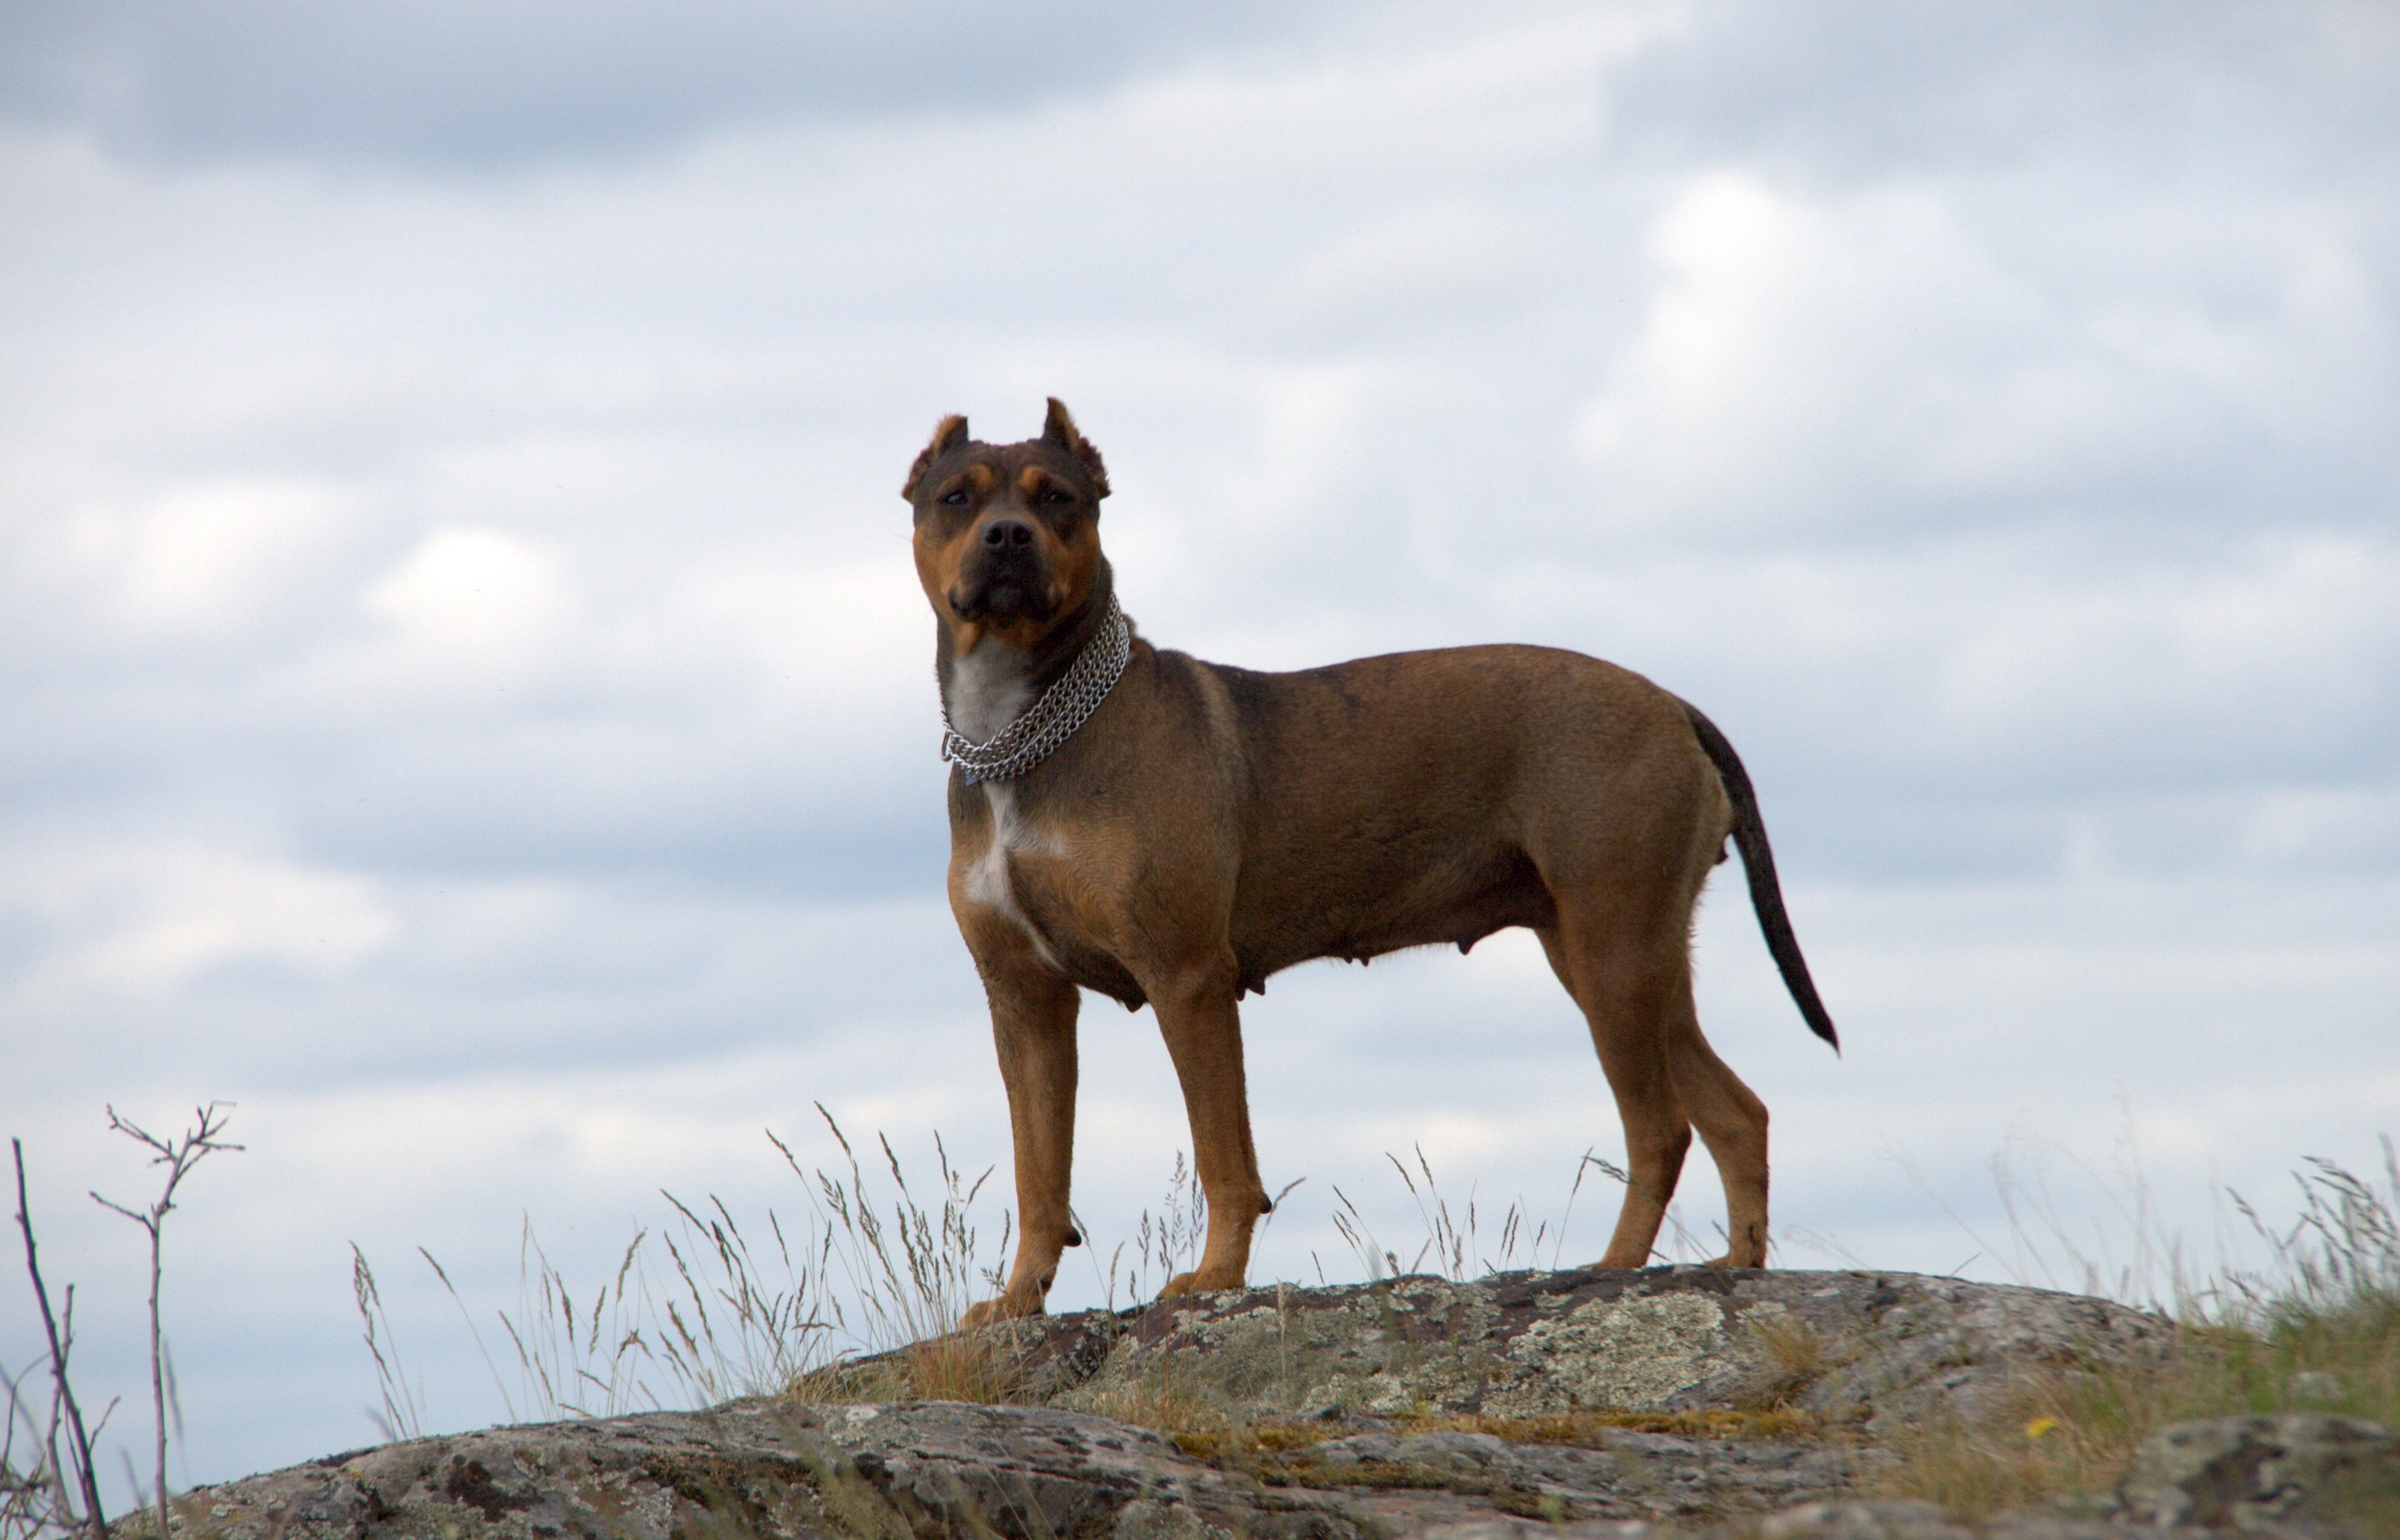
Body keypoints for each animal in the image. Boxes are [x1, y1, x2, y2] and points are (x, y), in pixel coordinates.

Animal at [906, 400, 1838, 1324]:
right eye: (956, 496)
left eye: (1056, 498)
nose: (1007, 537)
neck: (1020, 733)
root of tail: (1673, 704)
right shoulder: (1025, 1001)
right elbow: (1039, 1168)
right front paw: (1018, 1298)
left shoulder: (1187, 978)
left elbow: (1223, 1156)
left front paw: (1215, 1278)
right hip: (1623, 959)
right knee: (1736, 1112)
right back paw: (1737, 1268)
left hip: (1615, 953)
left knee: (1661, 1127)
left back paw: (1611, 1271)